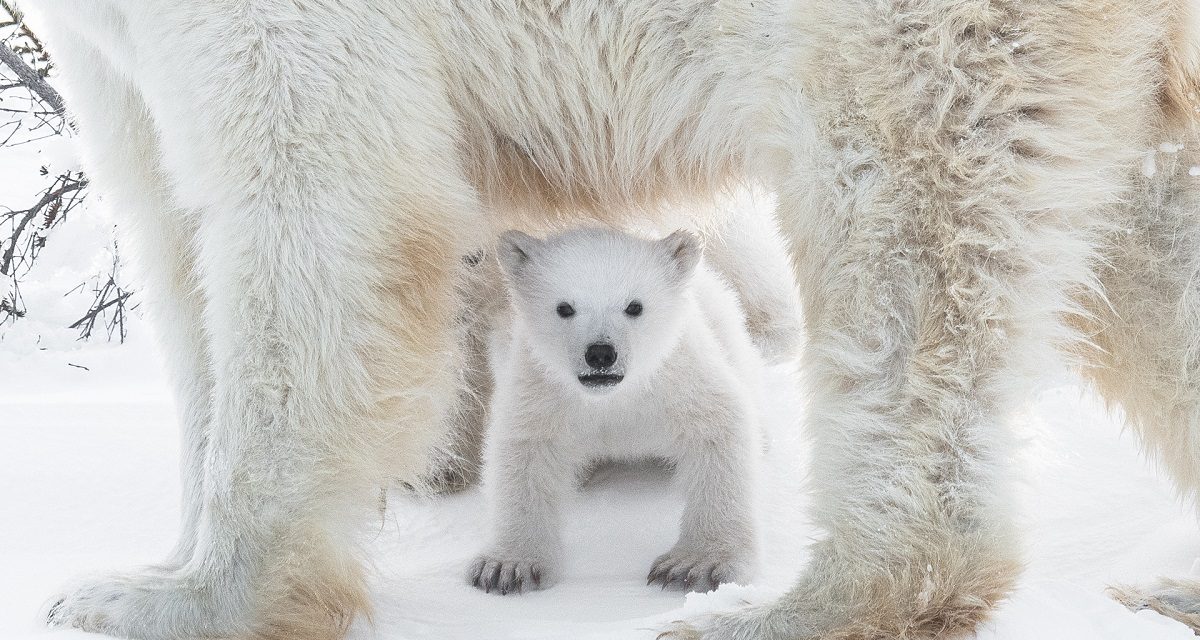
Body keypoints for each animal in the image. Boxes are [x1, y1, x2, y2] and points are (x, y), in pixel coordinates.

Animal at [467, 228, 762, 595]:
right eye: (564, 308)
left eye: (634, 306)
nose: (600, 354)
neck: (611, 399)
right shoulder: (540, 388)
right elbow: (524, 453)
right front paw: (507, 567)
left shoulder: (678, 378)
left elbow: (718, 429)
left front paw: (696, 565)